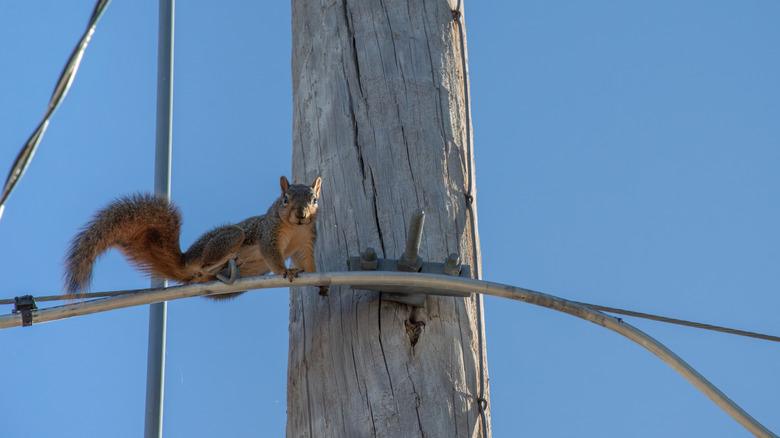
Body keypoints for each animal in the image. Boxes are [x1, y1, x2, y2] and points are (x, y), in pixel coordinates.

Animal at [64, 176, 327, 300]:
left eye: (315, 200)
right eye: (285, 199)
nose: (301, 215)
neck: (294, 229)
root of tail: (185, 260)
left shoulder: (306, 242)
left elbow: (307, 262)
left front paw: (320, 281)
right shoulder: (268, 233)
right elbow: (273, 255)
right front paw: (286, 271)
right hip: (229, 237)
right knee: (205, 264)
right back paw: (227, 260)